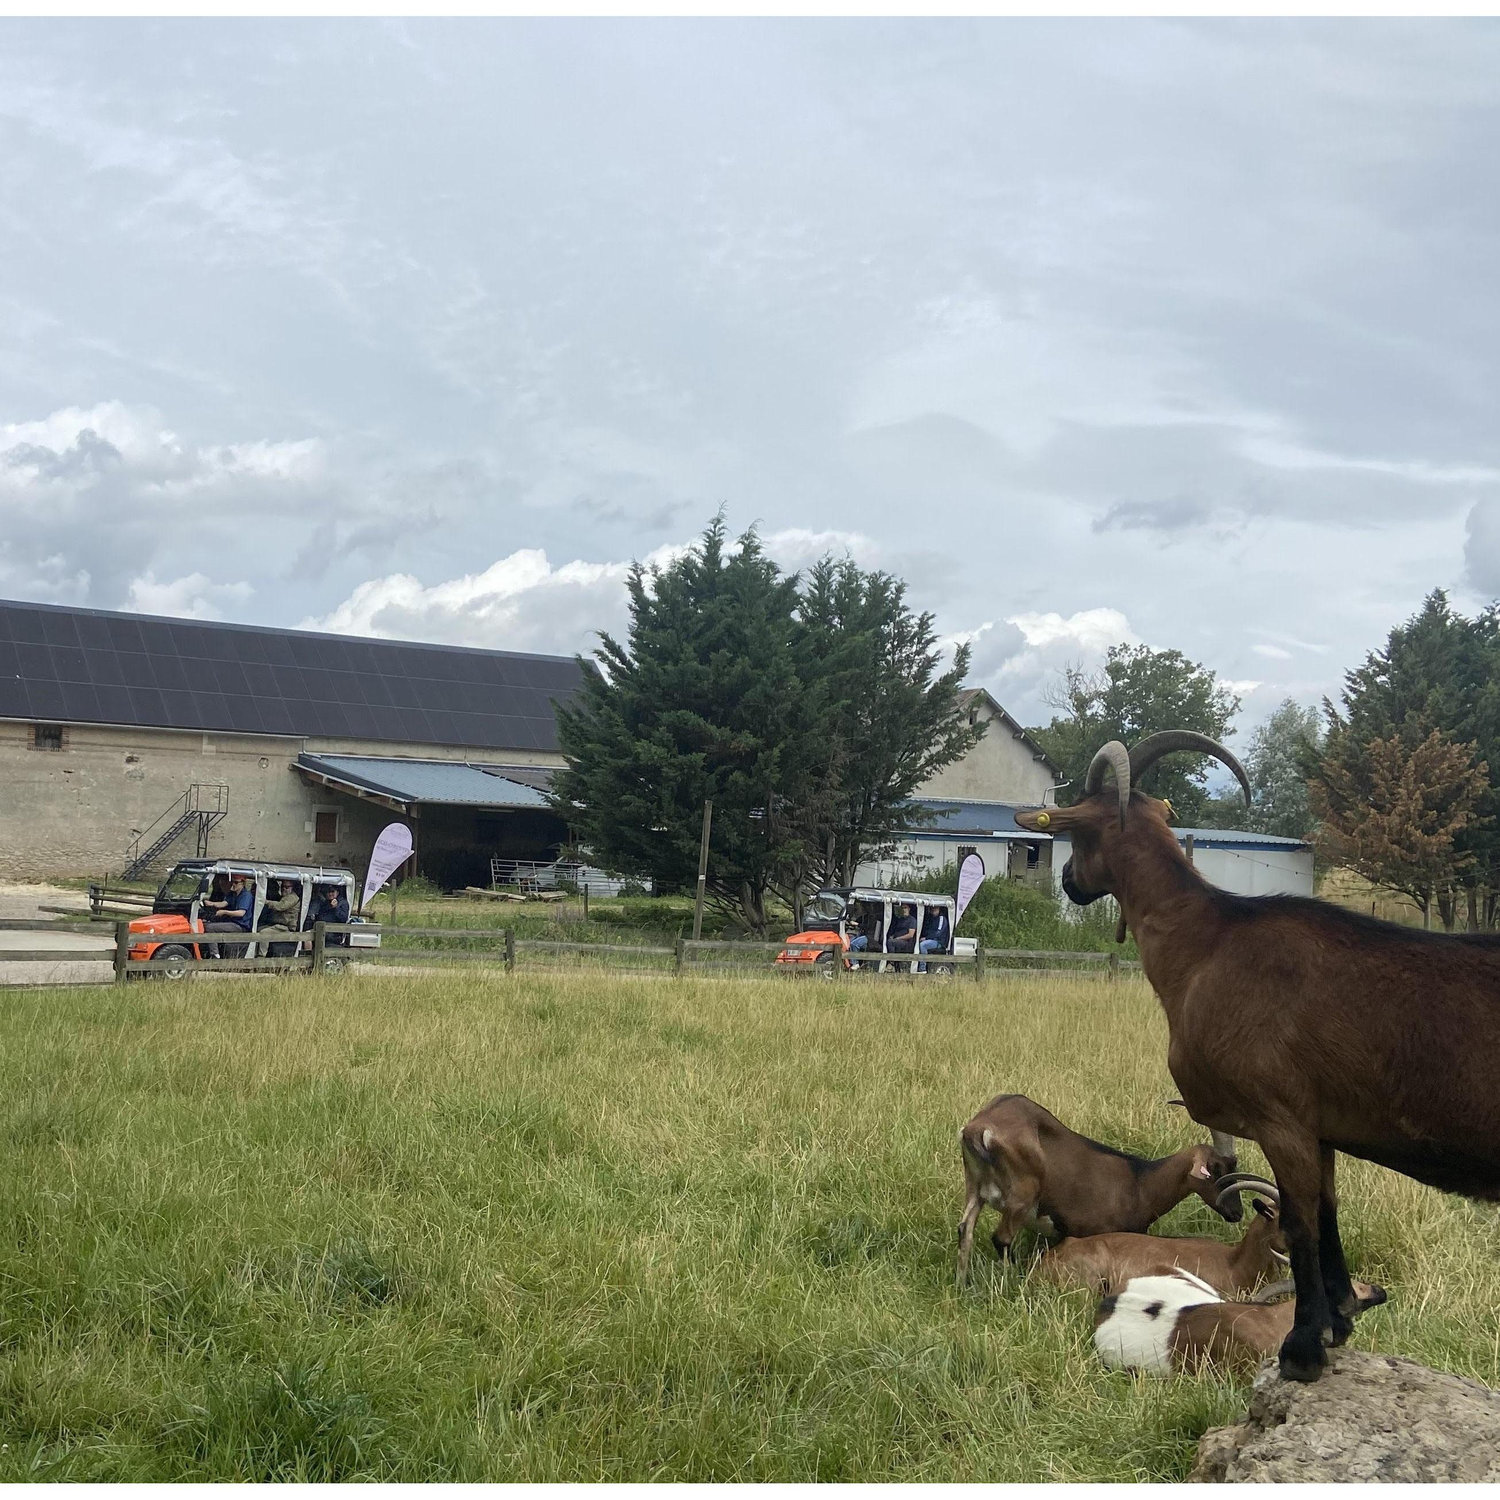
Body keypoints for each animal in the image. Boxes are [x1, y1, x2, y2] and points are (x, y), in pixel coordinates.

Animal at [956, 1093, 1239, 1285]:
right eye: (1216, 1169)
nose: (1237, 1213)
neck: (1141, 1182)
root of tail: (980, 1128)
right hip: (1021, 1197)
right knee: (1001, 1238)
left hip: (975, 1187)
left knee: (965, 1230)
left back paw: (964, 1285)